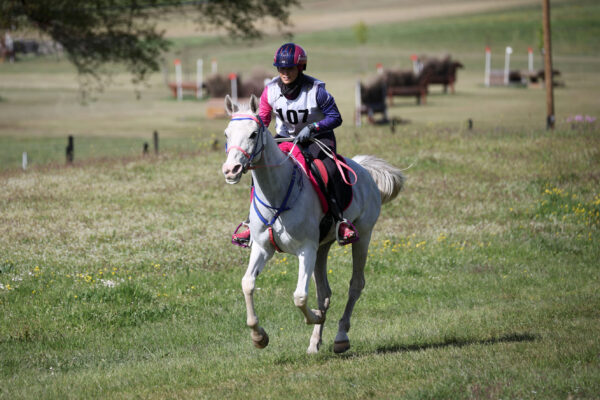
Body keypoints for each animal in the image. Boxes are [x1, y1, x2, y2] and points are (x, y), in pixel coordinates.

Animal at [220, 94, 404, 354]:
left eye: (254, 134)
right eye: (227, 134)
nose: (231, 170)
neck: (277, 195)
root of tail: (363, 169)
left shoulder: (306, 249)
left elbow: (299, 296)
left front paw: (315, 316)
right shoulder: (263, 247)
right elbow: (248, 284)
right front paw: (259, 337)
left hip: (363, 236)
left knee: (356, 284)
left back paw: (341, 337)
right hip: (322, 248)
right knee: (324, 293)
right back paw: (314, 342)